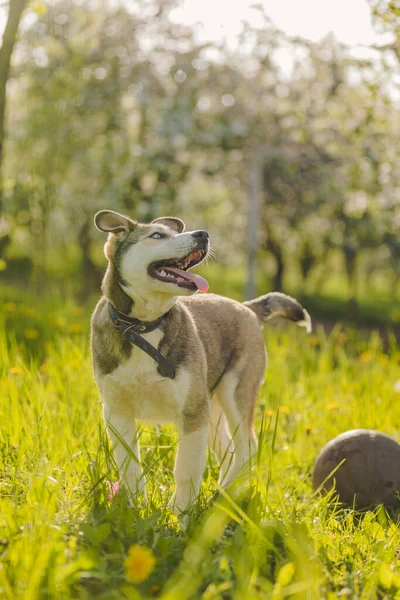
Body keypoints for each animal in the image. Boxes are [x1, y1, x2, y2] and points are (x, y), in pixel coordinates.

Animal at [92, 210, 310, 510]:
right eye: (157, 235)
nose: (203, 235)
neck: (142, 328)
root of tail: (246, 307)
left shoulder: (193, 412)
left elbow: (185, 469)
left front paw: (180, 512)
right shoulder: (116, 411)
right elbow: (129, 465)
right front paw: (135, 506)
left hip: (235, 393)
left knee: (247, 445)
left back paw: (226, 494)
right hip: (213, 404)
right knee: (229, 446)